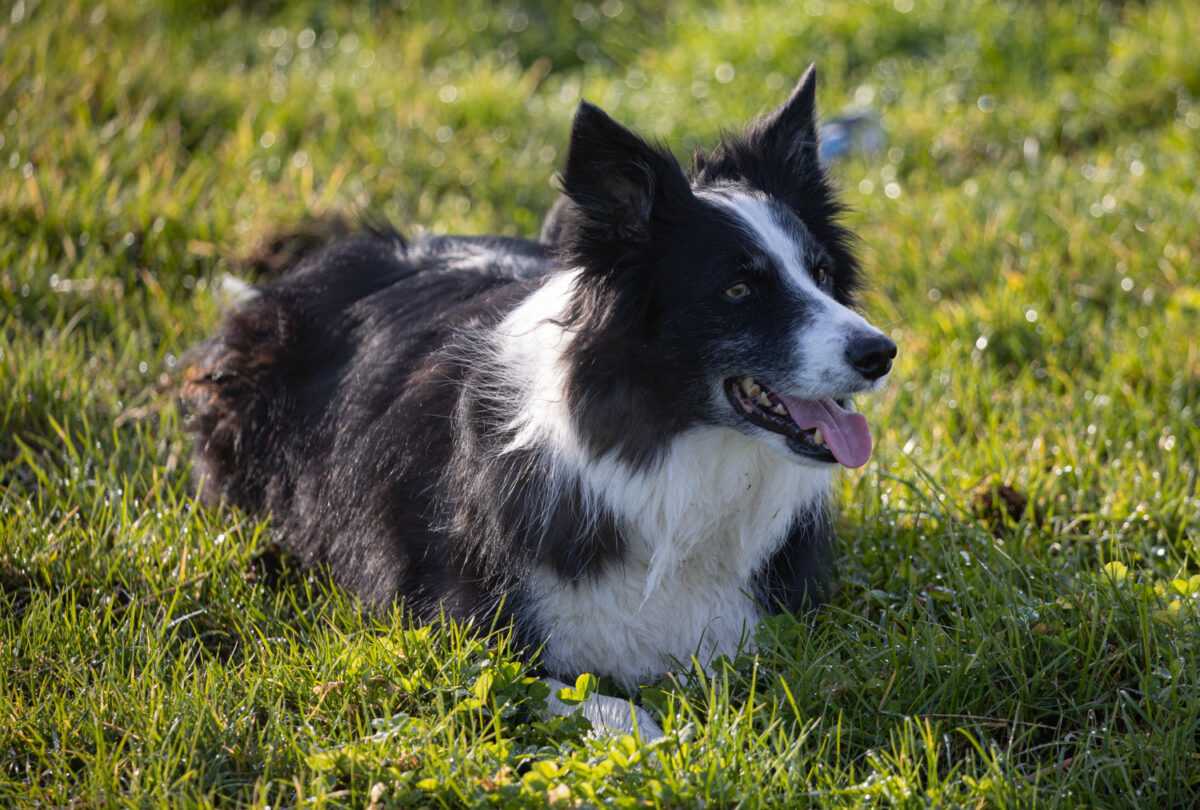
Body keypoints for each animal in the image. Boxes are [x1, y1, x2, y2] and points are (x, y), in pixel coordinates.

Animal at [182, 66, 897, 739]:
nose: (881, 353)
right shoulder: (459, 634)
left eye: (823, 274)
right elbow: (606, 705)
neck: (664, 447)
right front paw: (670, 740)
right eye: (739, 289)